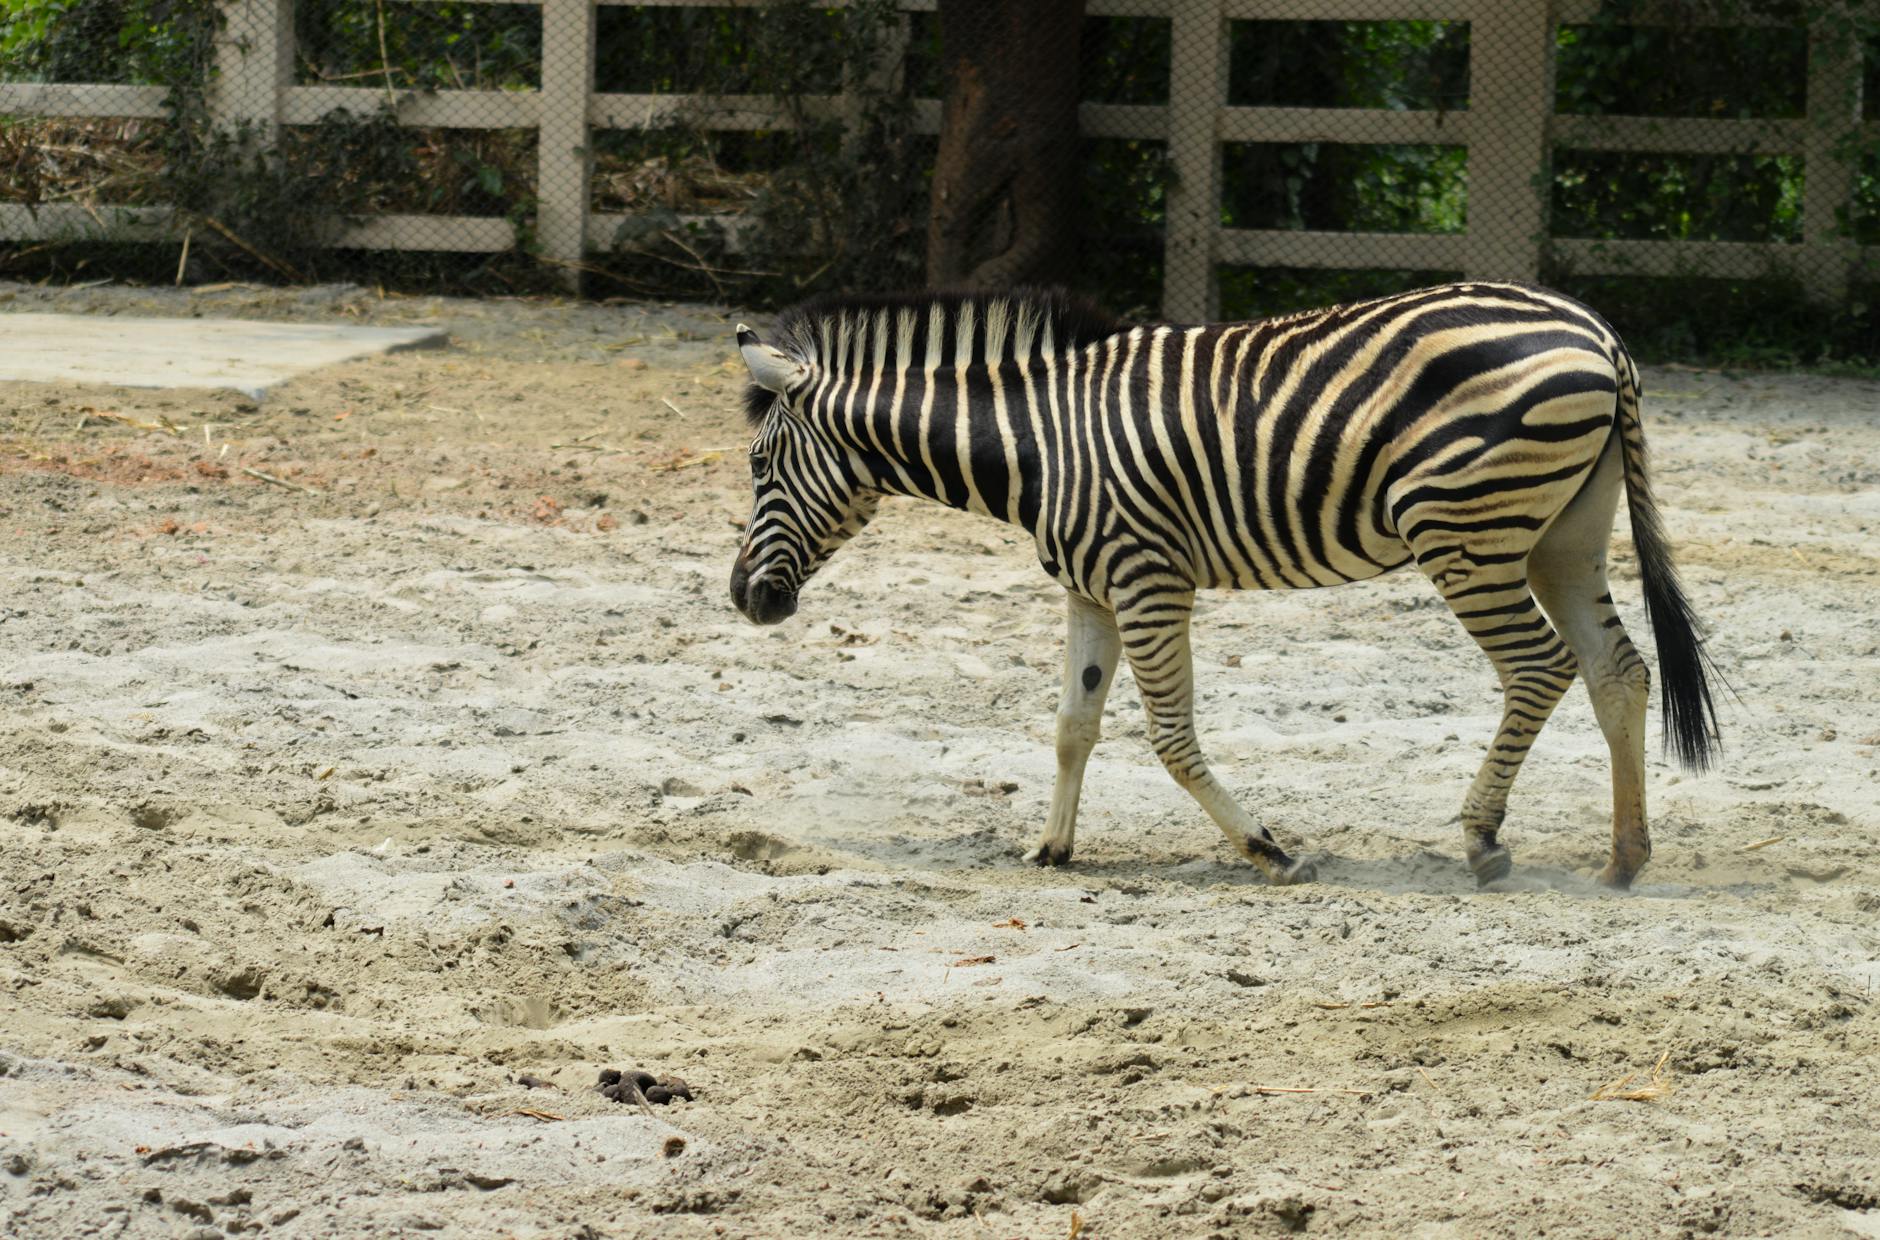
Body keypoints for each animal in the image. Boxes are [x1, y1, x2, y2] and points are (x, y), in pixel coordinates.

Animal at [727, 283, 1719, 889]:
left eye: (759, 464)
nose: (744, 600)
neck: (1039, 445)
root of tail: (1596, 332)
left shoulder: (1148, 578)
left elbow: (1169, 736)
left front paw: (1268, 851)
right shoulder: (1091, 590)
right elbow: (1073, 724)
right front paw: (1051, 847)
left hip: (1463, 531)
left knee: (1539, 668)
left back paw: (1482, 838)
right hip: (1562, 537)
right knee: (1618, 671)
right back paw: (1624, 859)